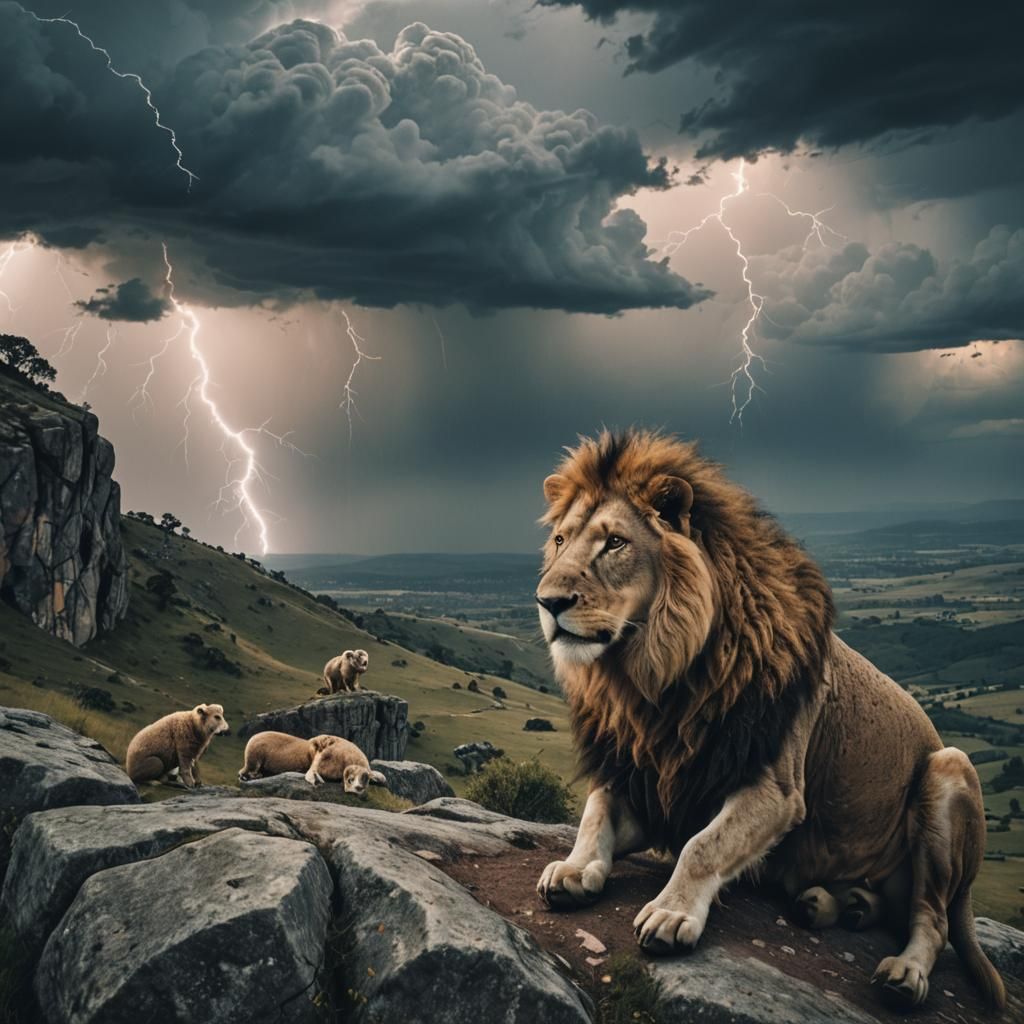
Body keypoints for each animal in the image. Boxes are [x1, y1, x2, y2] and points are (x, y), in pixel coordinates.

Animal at [534, 430, 1004, 1012]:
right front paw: (575, 869)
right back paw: (835, 904)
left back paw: (903, 973)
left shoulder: (775, 791)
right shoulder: (652, 780)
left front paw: (671, 912)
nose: (547, 601)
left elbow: (703, 846)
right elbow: (595, 815)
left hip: (950, 767)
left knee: (932, 917)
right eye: (560, 540)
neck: (656, 681)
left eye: (615, 543)